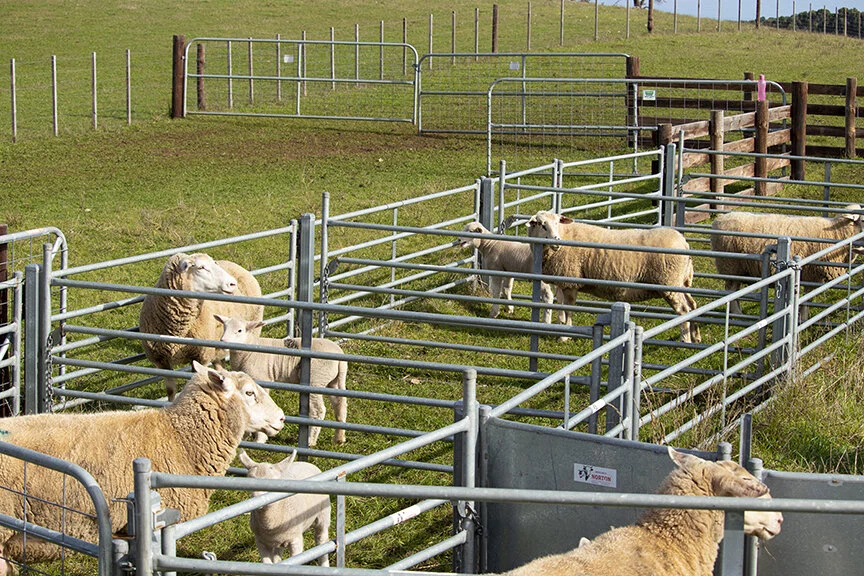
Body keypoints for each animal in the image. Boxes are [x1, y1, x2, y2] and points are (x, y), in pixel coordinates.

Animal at [139, 252, 264, 401]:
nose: (232, 283)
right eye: (201, 267)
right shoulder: (160, 359)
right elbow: (170, 390)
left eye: (214, 263)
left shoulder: (201, 356)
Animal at [216, 315, 348, 447]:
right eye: (224, 327)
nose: (222, 341)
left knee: (318, 410)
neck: (249, 350)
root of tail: (339, 355)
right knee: (340, 404)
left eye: (239, 330)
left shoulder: (261, 379)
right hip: (334, 381)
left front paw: (260, 439)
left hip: (315, 381)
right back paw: (339, 438)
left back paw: (311, 440)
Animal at [526, 211, 701, 343]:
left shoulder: (570, 281)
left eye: (557, 223)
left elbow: (569, 309)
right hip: (680, 282)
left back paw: (685, 340)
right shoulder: (562, 281)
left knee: (683, 310)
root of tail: (684, 243)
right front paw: (561, 327)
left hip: (669, 282)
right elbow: (561, 308)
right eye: (542, 224)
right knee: (692, 305)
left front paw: (564, 337)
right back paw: (696, 337)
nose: (557, 242)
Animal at [710, 206, 864, 315]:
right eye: (863, 220)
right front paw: (803, 320)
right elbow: (806, 300)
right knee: (730, 290)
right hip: (729, 265)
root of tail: (718, 220)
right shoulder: (811, 274)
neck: (837, 234)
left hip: (738, 269)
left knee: (734, 292)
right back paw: (737, 313)